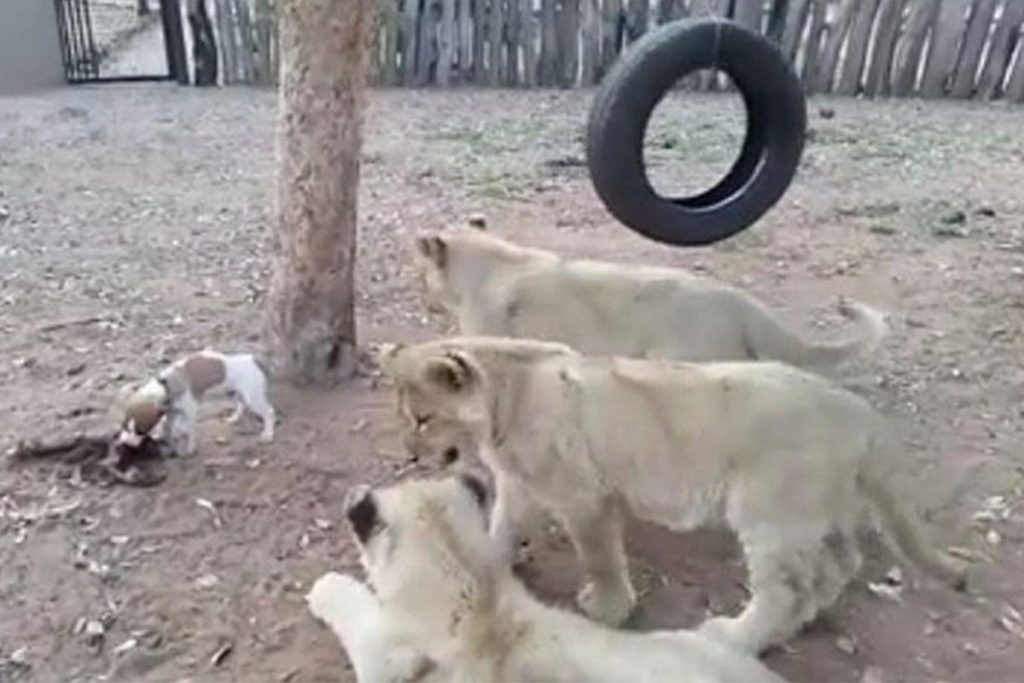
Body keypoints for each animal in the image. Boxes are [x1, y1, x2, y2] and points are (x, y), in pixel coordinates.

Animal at [118, 350, 276, 456]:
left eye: (140, 431)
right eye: (124, 426)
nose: (125, 444)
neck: (164, 385)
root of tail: (253, 359)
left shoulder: (189, 412)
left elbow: (190, 431)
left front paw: (190, 448)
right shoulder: (172, 412)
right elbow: (168, 427)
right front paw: (168, 438)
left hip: (253, 397)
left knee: (269, 412)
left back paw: (268, 434)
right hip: (236, 393)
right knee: (241, 405)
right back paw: (234, 417)